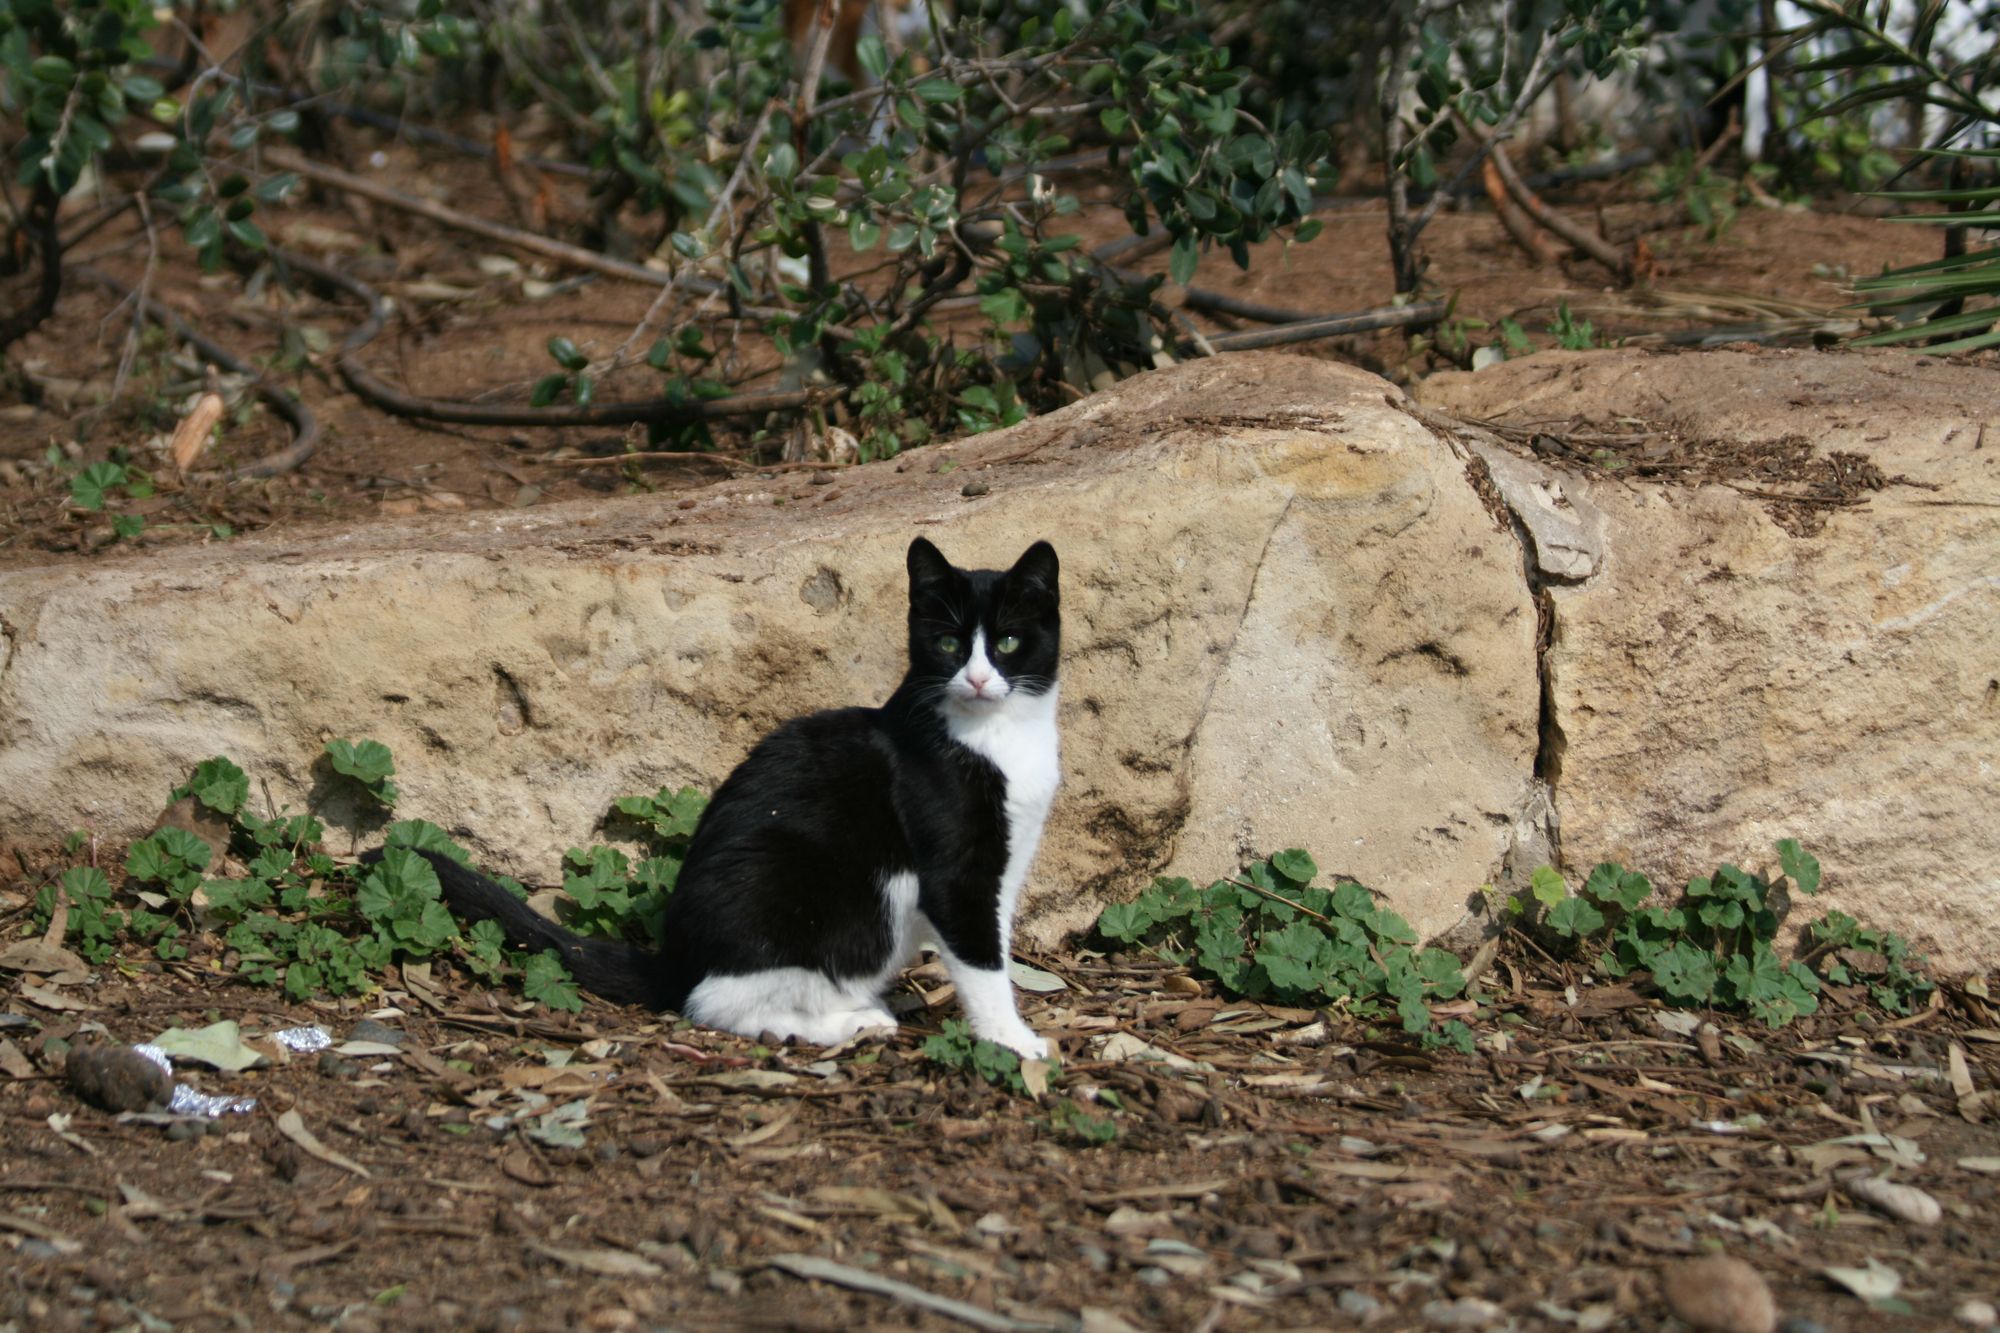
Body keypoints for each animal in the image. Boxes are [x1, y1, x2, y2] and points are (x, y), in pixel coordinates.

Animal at [402, 536, 1064, 1056]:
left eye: (1007, 643)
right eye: (949, 645)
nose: (976, 678)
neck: (997, 737)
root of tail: (674, 958)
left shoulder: (1007, 862)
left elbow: (997, 943)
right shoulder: (955, 871)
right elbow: (980, 960)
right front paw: (1013, 1040)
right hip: (804, 895)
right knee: (717, 1003)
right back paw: (850, 1023)